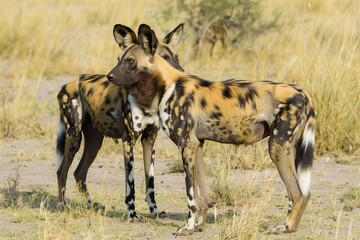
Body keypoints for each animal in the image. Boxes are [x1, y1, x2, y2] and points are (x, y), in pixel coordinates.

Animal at [56, 23, 186, 220]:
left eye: (175, 57)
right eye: (163, 58)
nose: (181, 72)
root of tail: (69, 82)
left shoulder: (149, 140)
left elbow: (150, 184)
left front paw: (154, 212)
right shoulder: (129, 141)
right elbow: (130, 185)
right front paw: (132, 214)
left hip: (95, 143)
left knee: (79, 173)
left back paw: (91, 205)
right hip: (74, 138)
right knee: (61, 171)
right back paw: (62, 206)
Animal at [107, 24, 316, 236]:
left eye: (130, 61)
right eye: (118, 60)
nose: (110, 76)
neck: (166, 86)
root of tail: (303, 92)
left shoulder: (186, 147)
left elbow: (190, 195)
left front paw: (187, 227)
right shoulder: (196, 146)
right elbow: (202, 196)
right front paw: (198, 226)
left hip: (276, 147)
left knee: (297, 193)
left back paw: (285, 227)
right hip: (288, 149)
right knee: (304, 193)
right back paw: (291, 227)